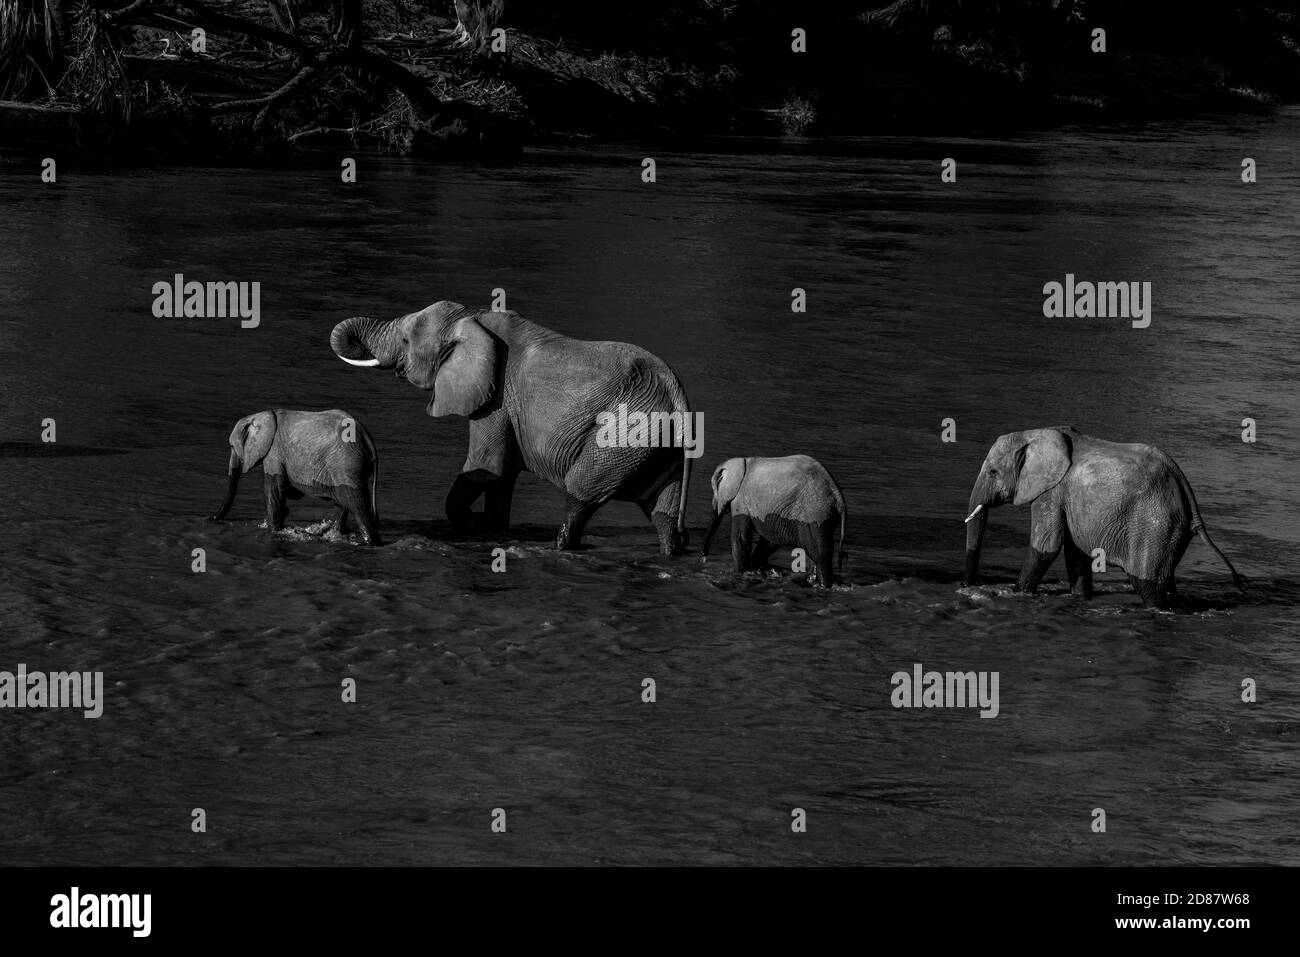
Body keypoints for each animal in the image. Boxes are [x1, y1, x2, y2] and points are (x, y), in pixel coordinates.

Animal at [206, 408, 379, 546]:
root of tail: (366, 437)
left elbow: (274, 491)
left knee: (357, 506)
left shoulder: (273, 453)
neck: (263, 415)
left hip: (347, 466)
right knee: (342, 504)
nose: (208, 518)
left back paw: (367, 543)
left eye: (231, 446)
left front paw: (276, 531)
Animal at [332, 299, 691, 553]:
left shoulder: (497, 400)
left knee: (581, 493)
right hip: (656, 443)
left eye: (406, 340)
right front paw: (489, 528)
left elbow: (486, 467)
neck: (472, 317)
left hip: (624, 433)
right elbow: (501, 477)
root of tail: (676, 393)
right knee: (662, 512)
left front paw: (473, 524)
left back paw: (562, 546)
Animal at [707, 455, 847, 587]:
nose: (703, 557)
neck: (742, 462)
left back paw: (823, 585)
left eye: (714, 489)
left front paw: (741, 573)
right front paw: (757, 570)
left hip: (814, 513)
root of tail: (838, 497)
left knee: (819, 554)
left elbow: (741, 538)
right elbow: (770, 540)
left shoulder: (740, 500)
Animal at [961, 426, 1242, 605]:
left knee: (1148, 584)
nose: (965, 587)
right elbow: (1075, 553)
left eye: (993, 472)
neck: (1034, 433)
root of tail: (1186, 491)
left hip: (1157, 525)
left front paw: (1015, 593)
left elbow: (1046, 545)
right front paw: (1079, 599)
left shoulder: (1052, 491)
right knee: (1167, 582)